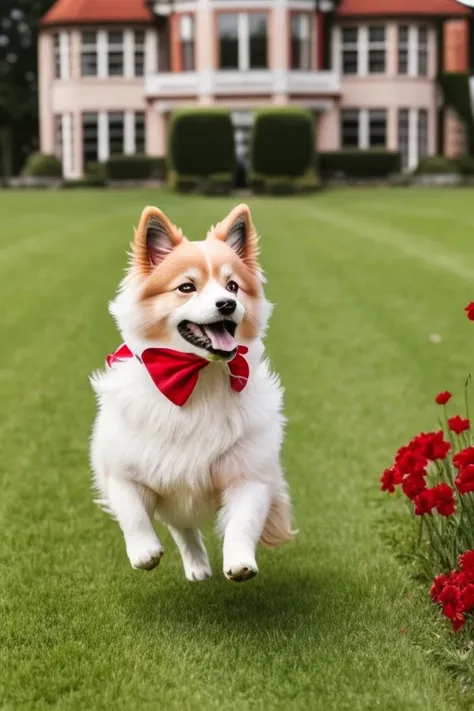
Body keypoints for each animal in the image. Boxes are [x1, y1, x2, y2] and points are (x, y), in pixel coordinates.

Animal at [89, 203, 292, 580]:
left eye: (233, 286)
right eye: (186, 287)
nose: (227, 304)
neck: (197, 377)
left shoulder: (249, 474)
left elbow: (243, 521)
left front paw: (240, 563)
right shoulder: (124, 473)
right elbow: (133, 513)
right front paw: (144, 552)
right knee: (182, 526)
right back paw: (196, 566)